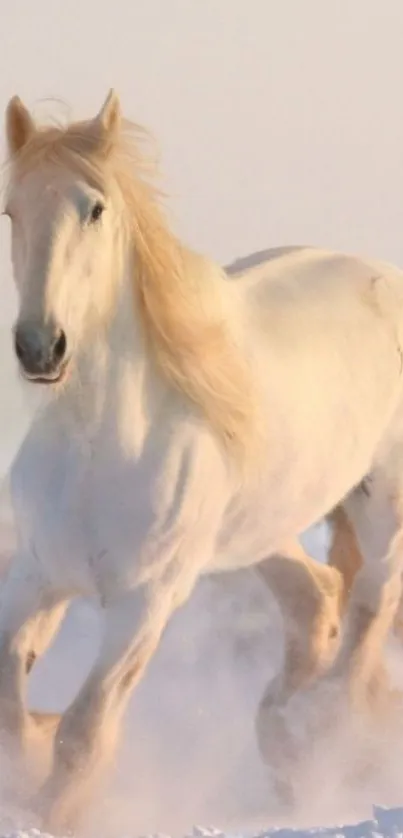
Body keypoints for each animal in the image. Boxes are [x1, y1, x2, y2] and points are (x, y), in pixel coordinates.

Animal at [2, 88, 403, 832]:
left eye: (94, 208)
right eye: (11, 209)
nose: (41, 347)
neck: (99, 447)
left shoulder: (144, 604)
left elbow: (84, 732)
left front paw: (50, 811)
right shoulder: (38, 576)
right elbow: (13, 704)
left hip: (381, 500)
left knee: (370, 601)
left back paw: (322, 737)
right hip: (260, 528)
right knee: (317, 597)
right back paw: (283, 741)